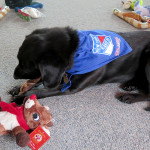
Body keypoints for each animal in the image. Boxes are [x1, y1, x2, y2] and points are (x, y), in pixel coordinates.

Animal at [9, 27, 150, 106]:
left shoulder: (71, 88)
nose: (14, 76)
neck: (79, 50)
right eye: (18, 60)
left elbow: (41, 90)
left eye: (25, 66)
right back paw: (131, 85)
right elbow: (36, 83)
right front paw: (18, 89)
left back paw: (129, 97)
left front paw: (20, 98)